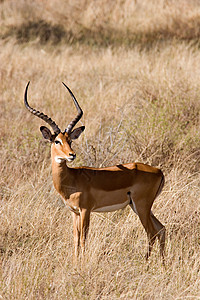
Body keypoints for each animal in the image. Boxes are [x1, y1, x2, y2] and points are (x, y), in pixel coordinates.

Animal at [24, 81, 166, 262]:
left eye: (70, 140)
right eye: (57, 141)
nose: (72, 155)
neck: (71, 180)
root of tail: (158, 171)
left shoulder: (86, 210)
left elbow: (84, 238)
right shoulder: (74, 212)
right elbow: (76, 239)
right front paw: (75, 262)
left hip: (141, 206)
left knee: (152, 232)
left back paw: (146, 263)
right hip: (141, 207)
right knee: (161, 229)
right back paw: (162, 264)